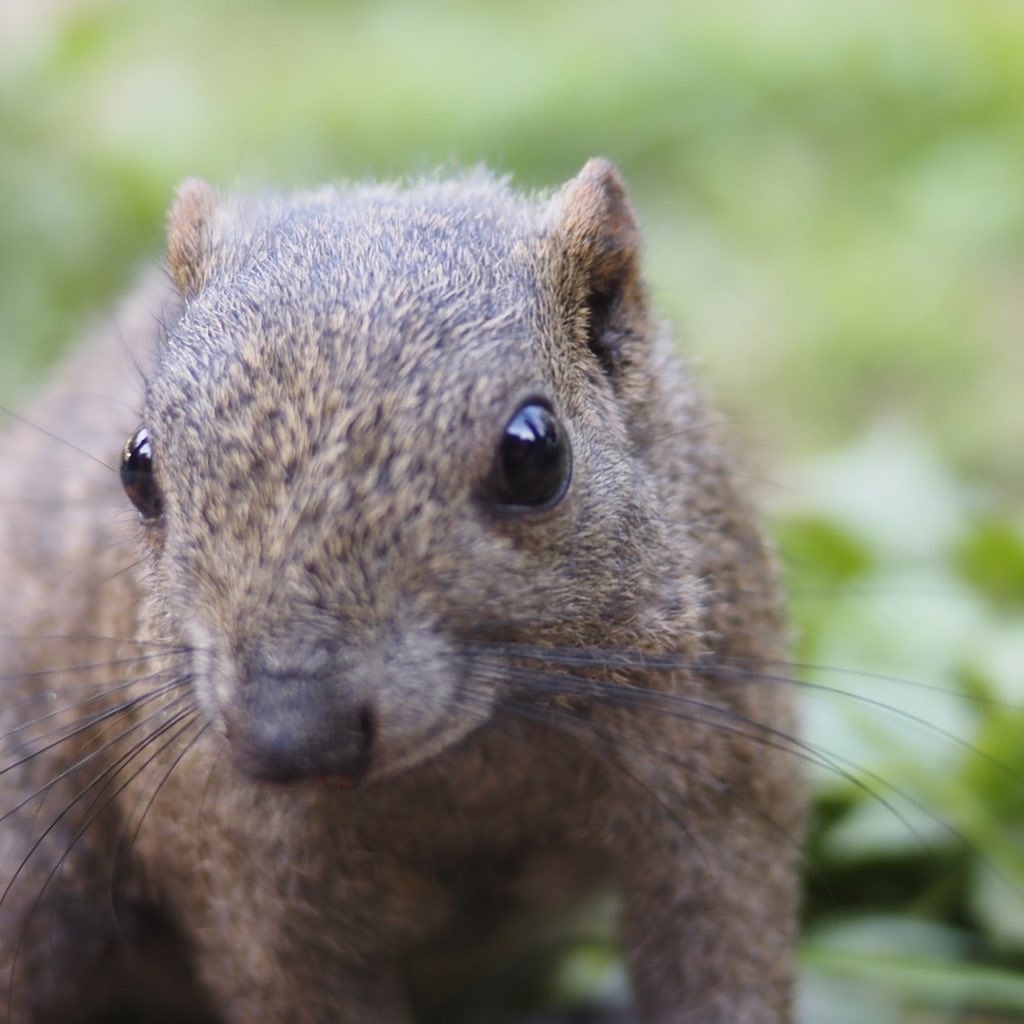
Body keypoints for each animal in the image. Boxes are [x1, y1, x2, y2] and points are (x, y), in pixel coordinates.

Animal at [0, 161, 802, 1024]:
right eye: (136, 465)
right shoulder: (244, 872)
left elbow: (727, 938)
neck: (472, 765)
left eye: (535, 454)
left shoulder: (722, 767)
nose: (289, 732)